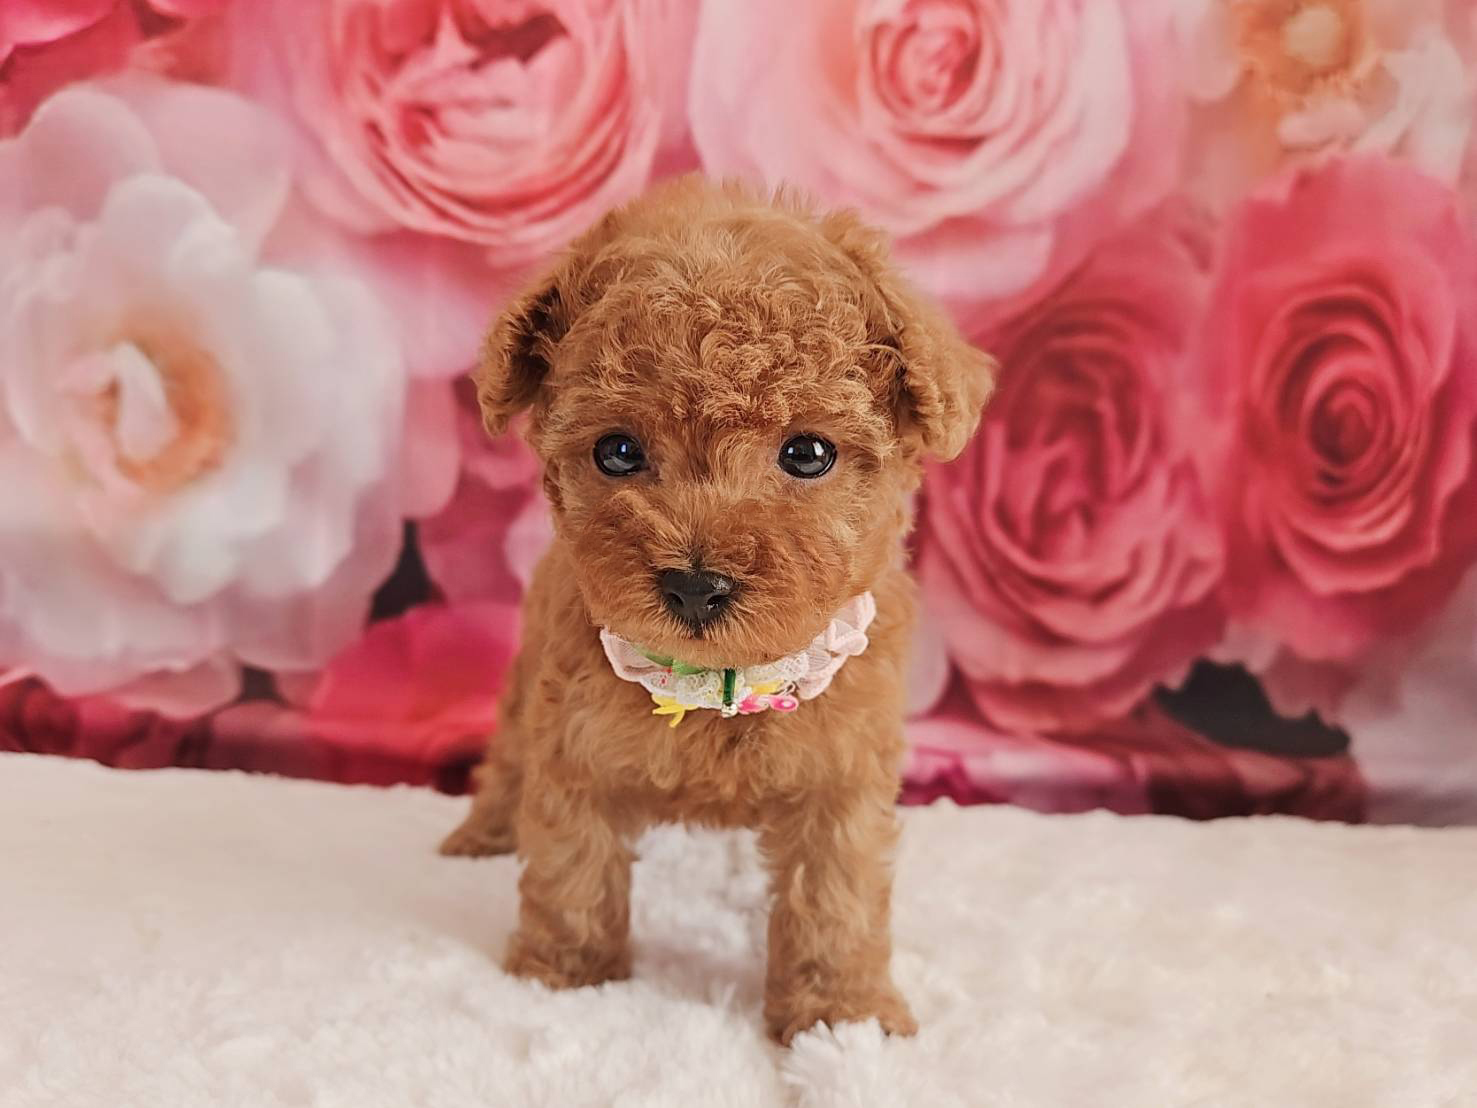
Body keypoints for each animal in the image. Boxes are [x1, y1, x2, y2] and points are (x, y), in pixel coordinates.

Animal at [441, 175, 994, 1044]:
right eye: (617, 452)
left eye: (808, 452)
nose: (694, 585)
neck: (720, 684)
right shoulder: (572, 749)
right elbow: (571, 869)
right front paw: (561, 976)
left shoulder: (841, 775)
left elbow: (834, 899)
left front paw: (841, 1017)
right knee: (506, 764)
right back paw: (481, 836)